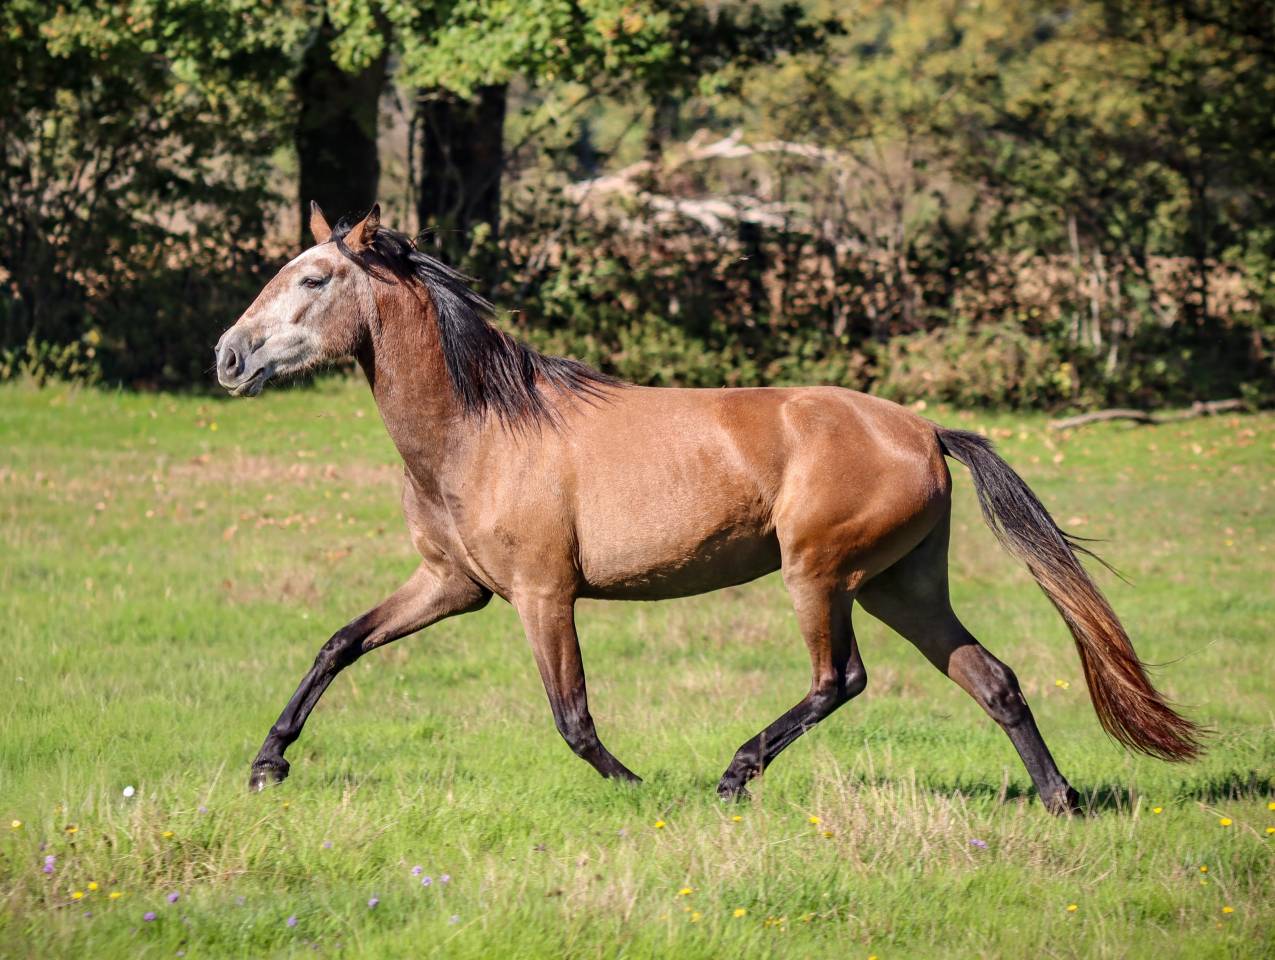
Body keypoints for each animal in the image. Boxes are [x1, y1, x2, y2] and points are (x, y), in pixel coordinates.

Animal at [214, 203, 1201, 813]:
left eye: (312, 280)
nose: (229, 356)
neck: (483, 428)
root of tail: (923, 430)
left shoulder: (542, 594)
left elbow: (572, 717)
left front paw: (637, 786)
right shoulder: (452, 585)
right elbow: (338, 644)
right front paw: (268, 764)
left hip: (819, 575)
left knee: (840, 679)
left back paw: (732, 779)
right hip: (901, 586)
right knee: (990, 678)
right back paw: (1059, 800)